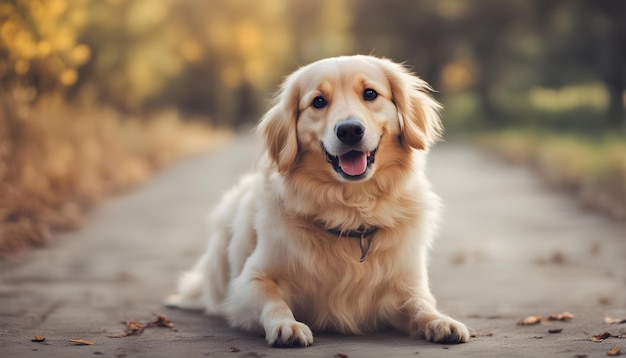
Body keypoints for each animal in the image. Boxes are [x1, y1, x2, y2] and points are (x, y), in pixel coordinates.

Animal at [166, 54, 468, 346]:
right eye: (318, 101)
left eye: (370, 93)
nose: (349, 130)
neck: (352, 211)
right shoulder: (248, 281)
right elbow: (272, 299)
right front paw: (287, 325)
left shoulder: (407, 284)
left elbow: (421, 304)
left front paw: (441, 321)